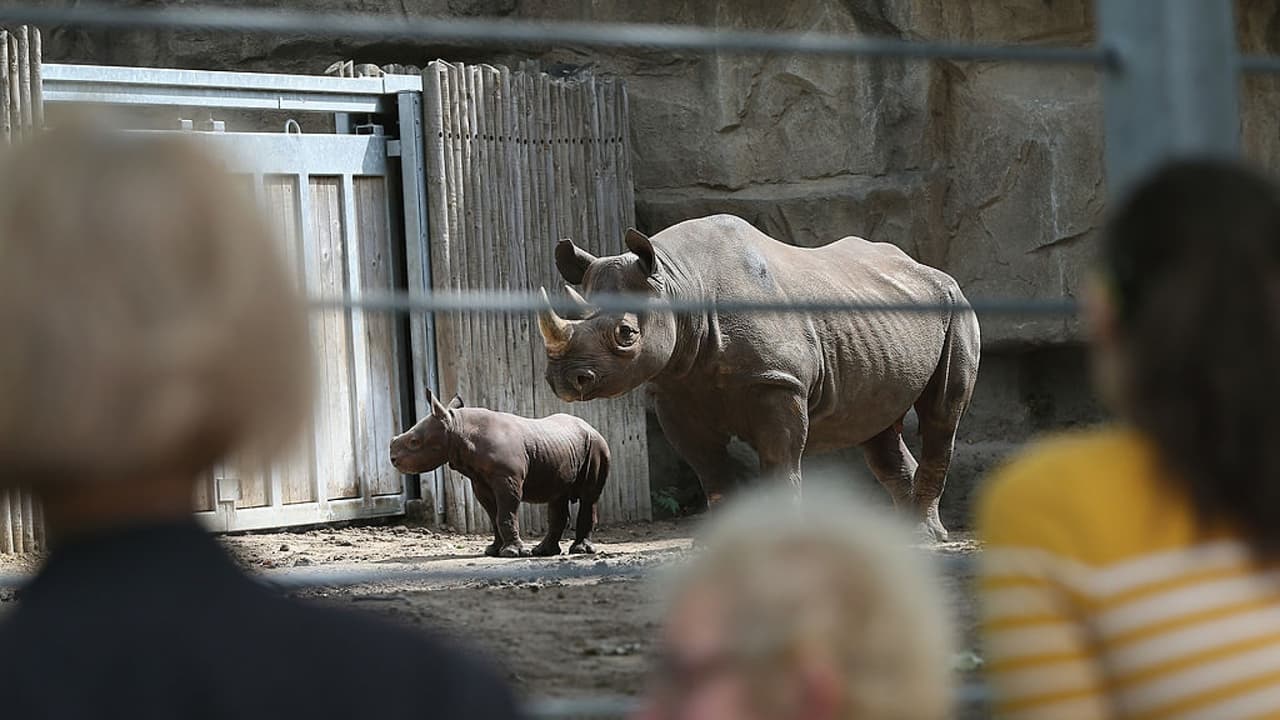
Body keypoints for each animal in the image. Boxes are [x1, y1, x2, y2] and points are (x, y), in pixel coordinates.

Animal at [389, 390, 610, 557]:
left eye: (414, 442)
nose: (392, 459)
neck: (457, 428)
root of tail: (592, 427)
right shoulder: (480, 481)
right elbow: (493, 515)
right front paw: (493, 551)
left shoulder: (507, 477)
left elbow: (505, 513)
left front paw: (511, 553)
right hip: (564, 447)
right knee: (558, 496)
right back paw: (543, 551)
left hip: (597, 446)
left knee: (589, 496)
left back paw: (579, 550)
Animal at [536, 214, 980, 541]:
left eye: (626, 334)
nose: (563, 379)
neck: (680, 283)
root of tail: (929, 269)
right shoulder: (675, 391)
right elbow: (711, 471)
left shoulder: (778, 382)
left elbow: (780, 460)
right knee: (876, 425)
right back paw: (908, 538)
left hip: (956, 304)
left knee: (942, 415)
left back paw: (925, 536)